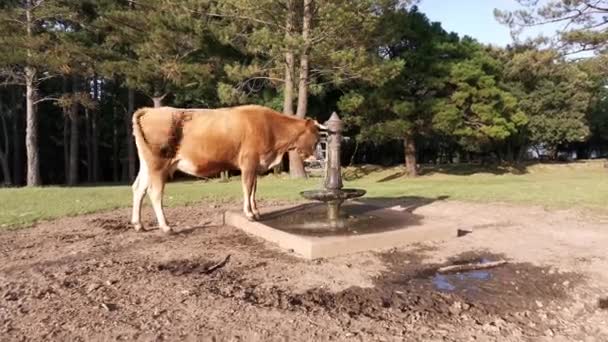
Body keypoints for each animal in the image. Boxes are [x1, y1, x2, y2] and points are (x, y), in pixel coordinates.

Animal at [131, 104, 326, 232]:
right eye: (316, 137)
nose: (318, 157)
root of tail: (150, 110)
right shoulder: (248, 162)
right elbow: (247, 187)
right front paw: (249, 214)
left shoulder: (256, 165)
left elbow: (253, 189)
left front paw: (256, 212)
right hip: (158, 165)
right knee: (154, 193)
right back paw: (165, 226)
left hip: (147, 166)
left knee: (138, 188)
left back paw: (138, 224)